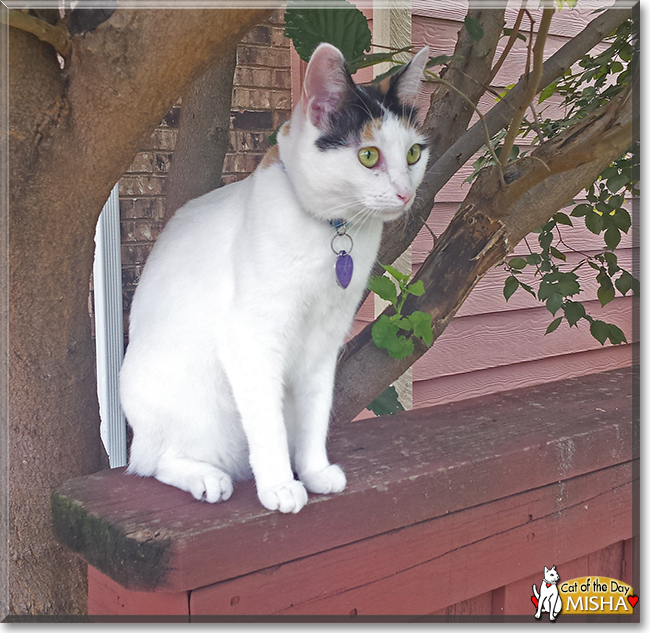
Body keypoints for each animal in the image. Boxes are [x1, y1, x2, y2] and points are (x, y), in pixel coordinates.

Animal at [119, 40, 428, 512]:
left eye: (413, 154)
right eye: (368, 155)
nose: (405, 194)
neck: (330, 231)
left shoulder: (325, 340)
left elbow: (315, 413)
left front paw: (314, 471)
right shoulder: (251, 338)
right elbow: (268, 425)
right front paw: (281, 485)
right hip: (188, 410)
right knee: (155, 463)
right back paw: (206, 478)